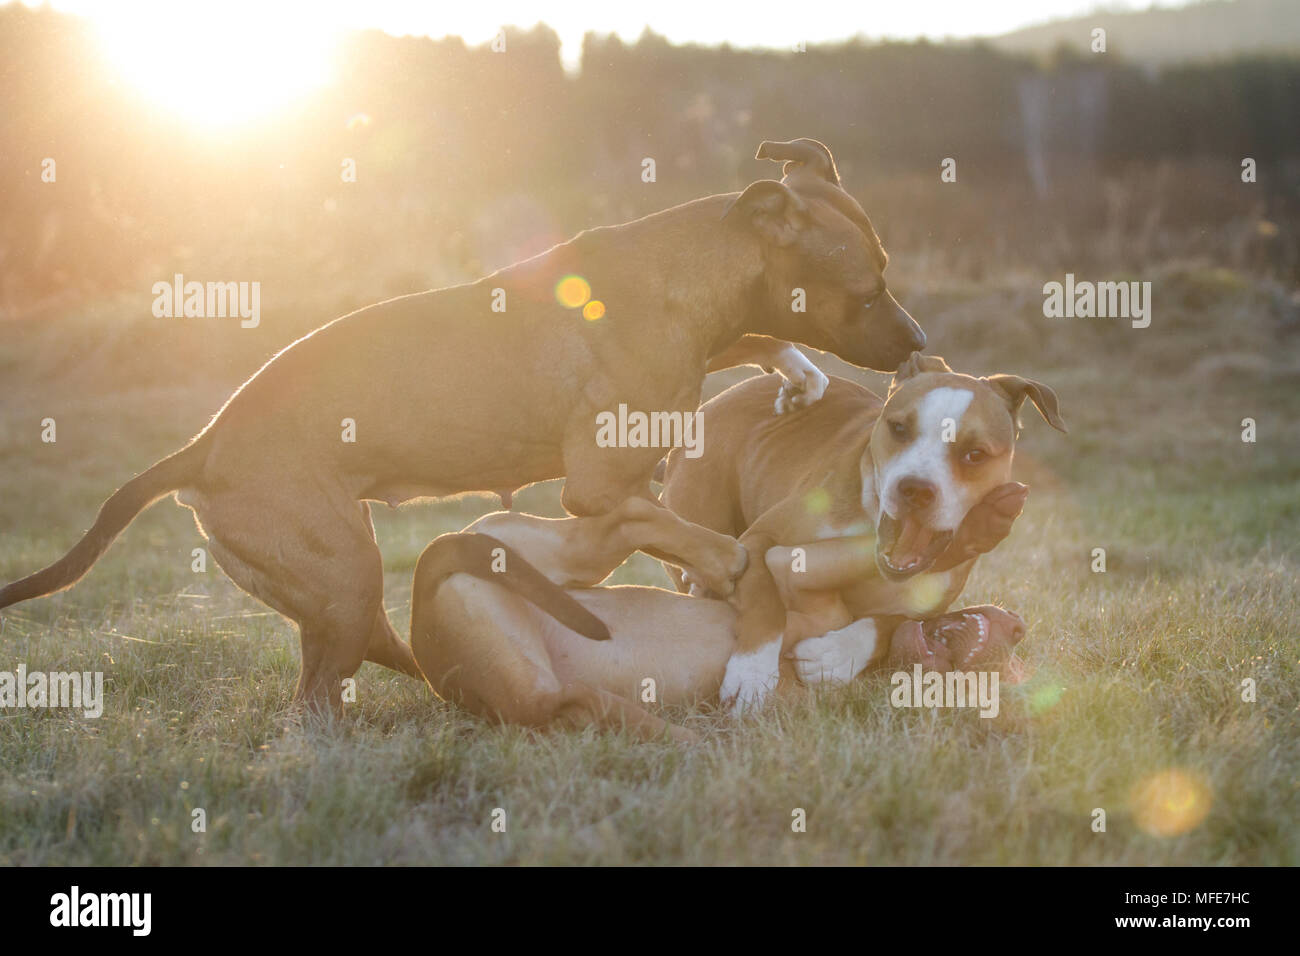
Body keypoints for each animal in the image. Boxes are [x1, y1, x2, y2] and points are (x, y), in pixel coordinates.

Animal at [0, 138, 925, 712]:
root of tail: (201, 450)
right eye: (868, 289)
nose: (919, 343)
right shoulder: (598, 489)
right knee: (315, 702)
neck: (692, 271)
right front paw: (736, 568)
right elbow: (675, 526)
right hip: (344, 574)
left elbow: (751, 349)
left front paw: (796, 368)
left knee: (369, 658)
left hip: (340, 586)